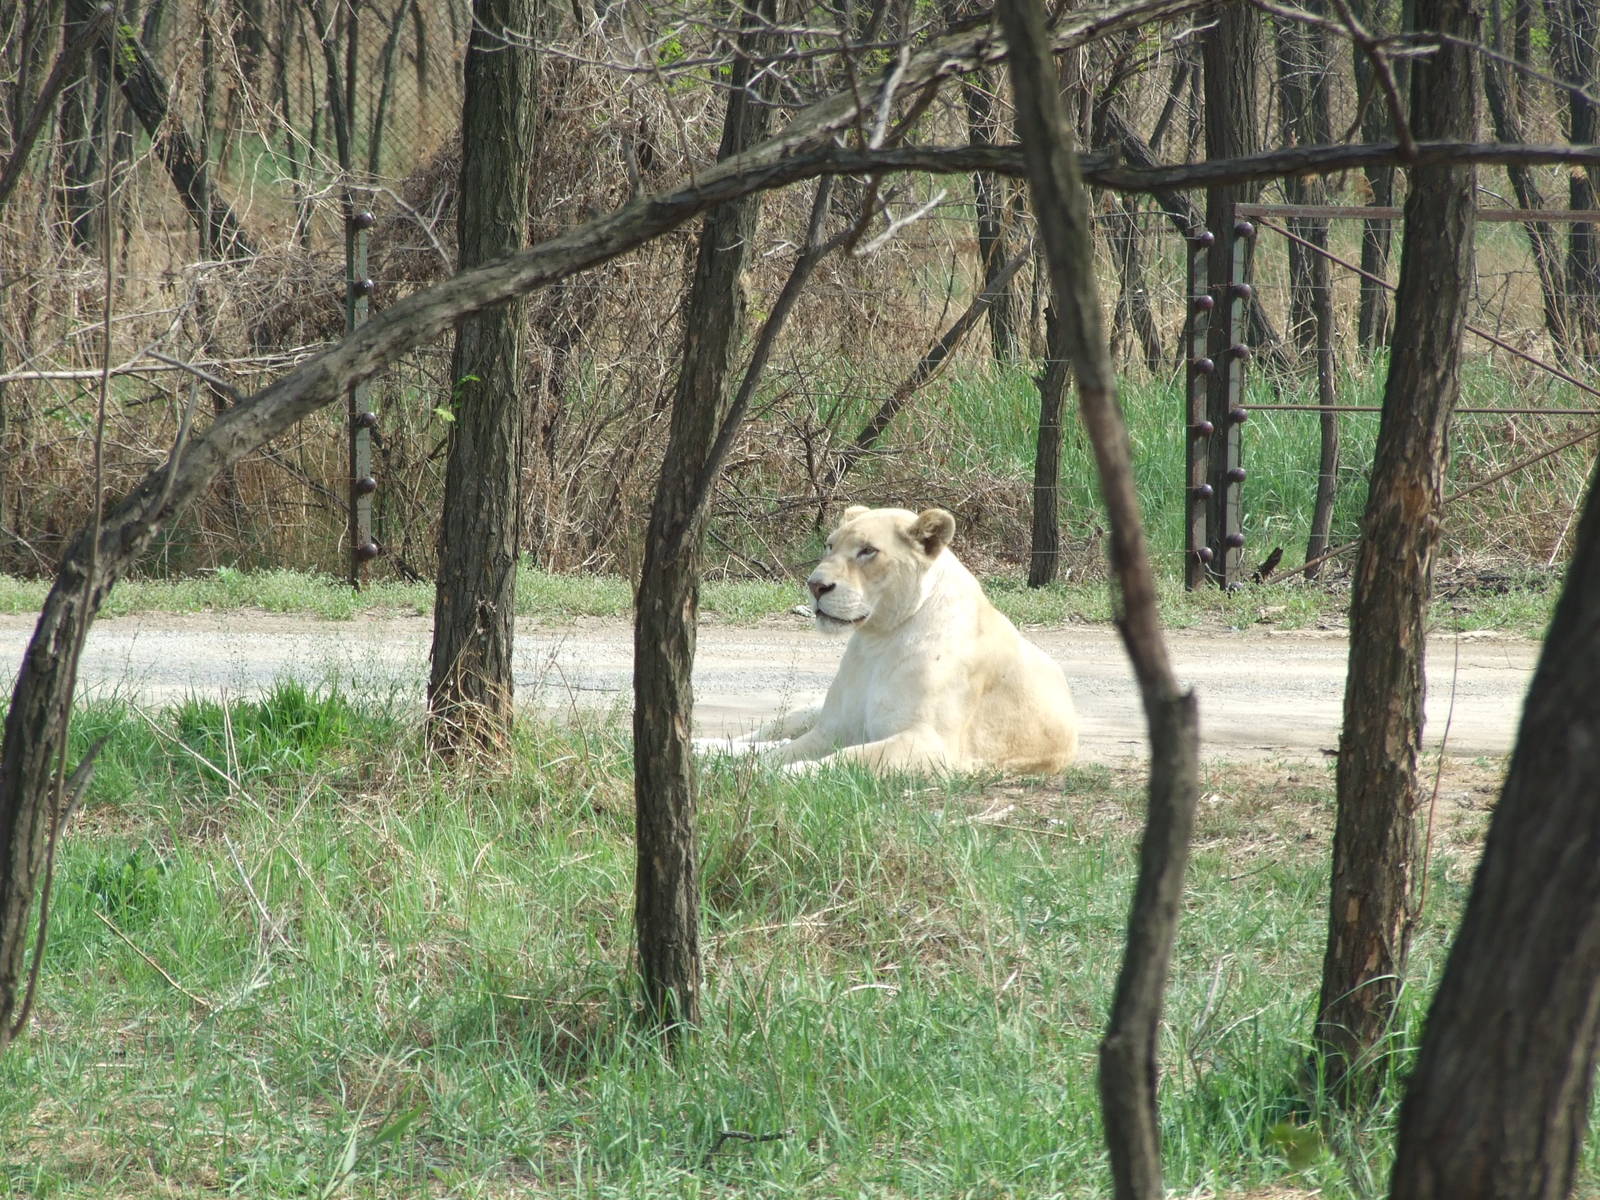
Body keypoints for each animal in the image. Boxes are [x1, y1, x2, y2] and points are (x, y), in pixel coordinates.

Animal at [697, 505, 1078, 773]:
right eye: (829, 545)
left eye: (867, 551)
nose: (815, 585)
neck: (877, 641)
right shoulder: (831, 728)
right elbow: (780, 752)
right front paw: (745, 771)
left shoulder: (932, 745)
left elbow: (848, 758)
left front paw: (780, 776)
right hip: (811, 709)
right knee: (765, 734)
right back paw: (705, 747)